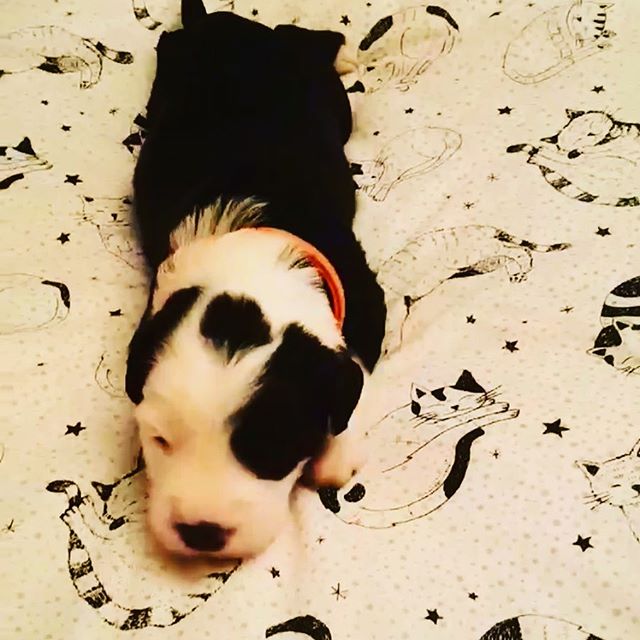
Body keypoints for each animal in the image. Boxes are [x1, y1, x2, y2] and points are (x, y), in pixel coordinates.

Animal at [125, 0, 384, 556]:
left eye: (271, 448)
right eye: (160, 440)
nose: (200, 533)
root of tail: (221, 23)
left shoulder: (364, 295)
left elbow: (353, 369)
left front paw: (335, 454)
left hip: (329, 99)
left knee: (300, 35)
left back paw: (342, 53)